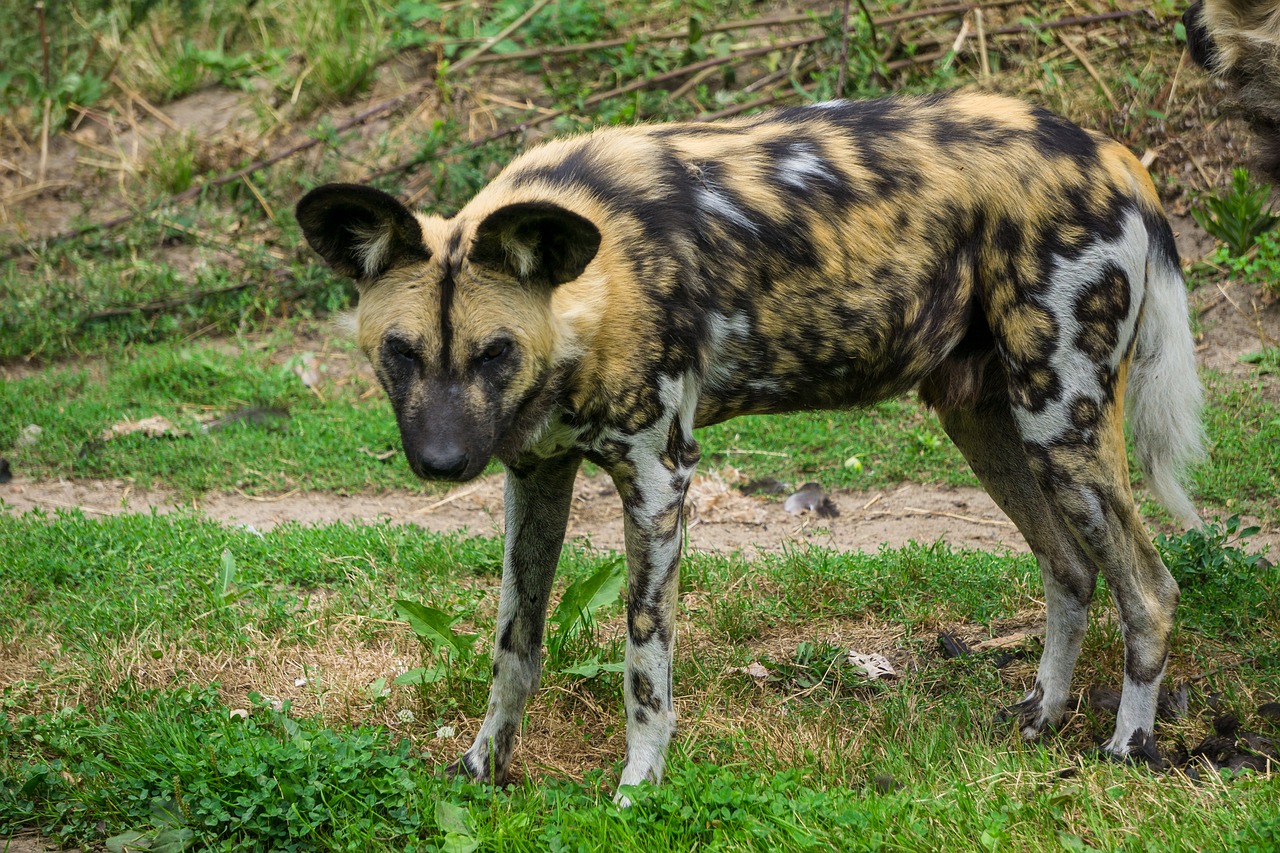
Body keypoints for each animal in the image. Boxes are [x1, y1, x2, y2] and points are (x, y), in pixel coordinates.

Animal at [294, 92, 1203, 799]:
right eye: (401, 352)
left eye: (494, 353)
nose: (443, 463)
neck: (590, 292)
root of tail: (1113, 153)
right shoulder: (534, 472)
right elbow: (515, 642)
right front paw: (485, 766)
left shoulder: (659, 482)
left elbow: (643, 659)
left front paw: (639, 786)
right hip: (987, 420)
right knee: (1072, 568)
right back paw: (1043, 714)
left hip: (1060, 424)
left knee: (1151, 587)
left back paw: (1128, 747)